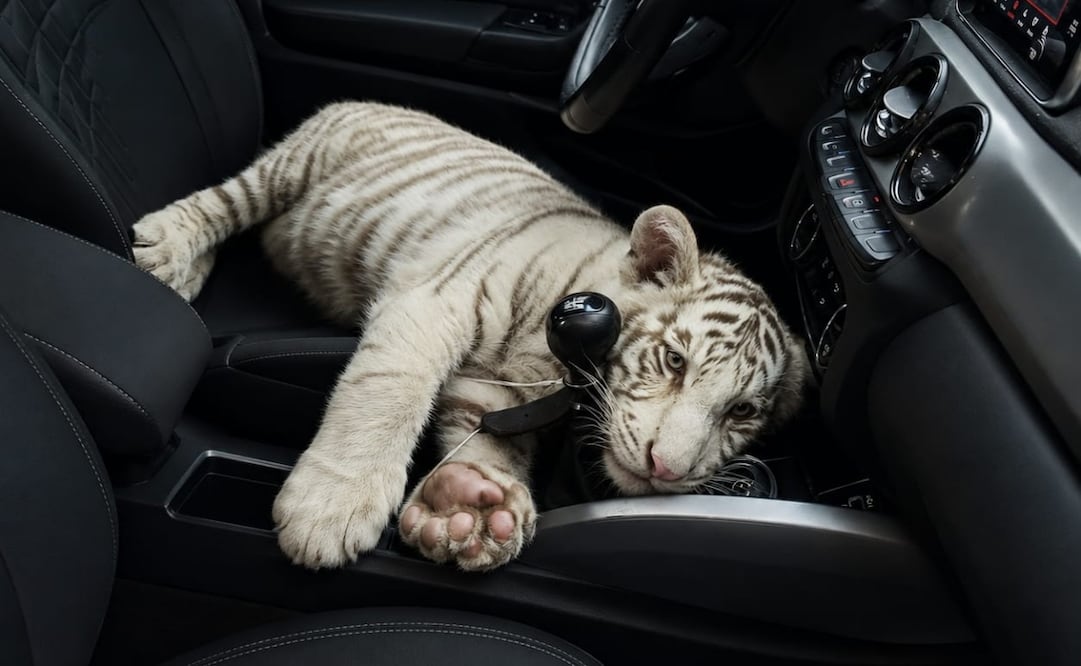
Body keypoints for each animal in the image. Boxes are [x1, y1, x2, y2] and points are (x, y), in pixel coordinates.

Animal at [131, 101, 810, 572]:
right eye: (673, 361)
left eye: (742, 412)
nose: (666, 470)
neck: (557, 361)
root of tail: (376, 101)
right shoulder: (434, 301)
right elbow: (387, 394)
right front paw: (329, 508)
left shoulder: (497, 389)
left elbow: (488, 444)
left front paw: (471, 508)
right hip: (293, 165)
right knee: (225, 201)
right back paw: (166, 251)